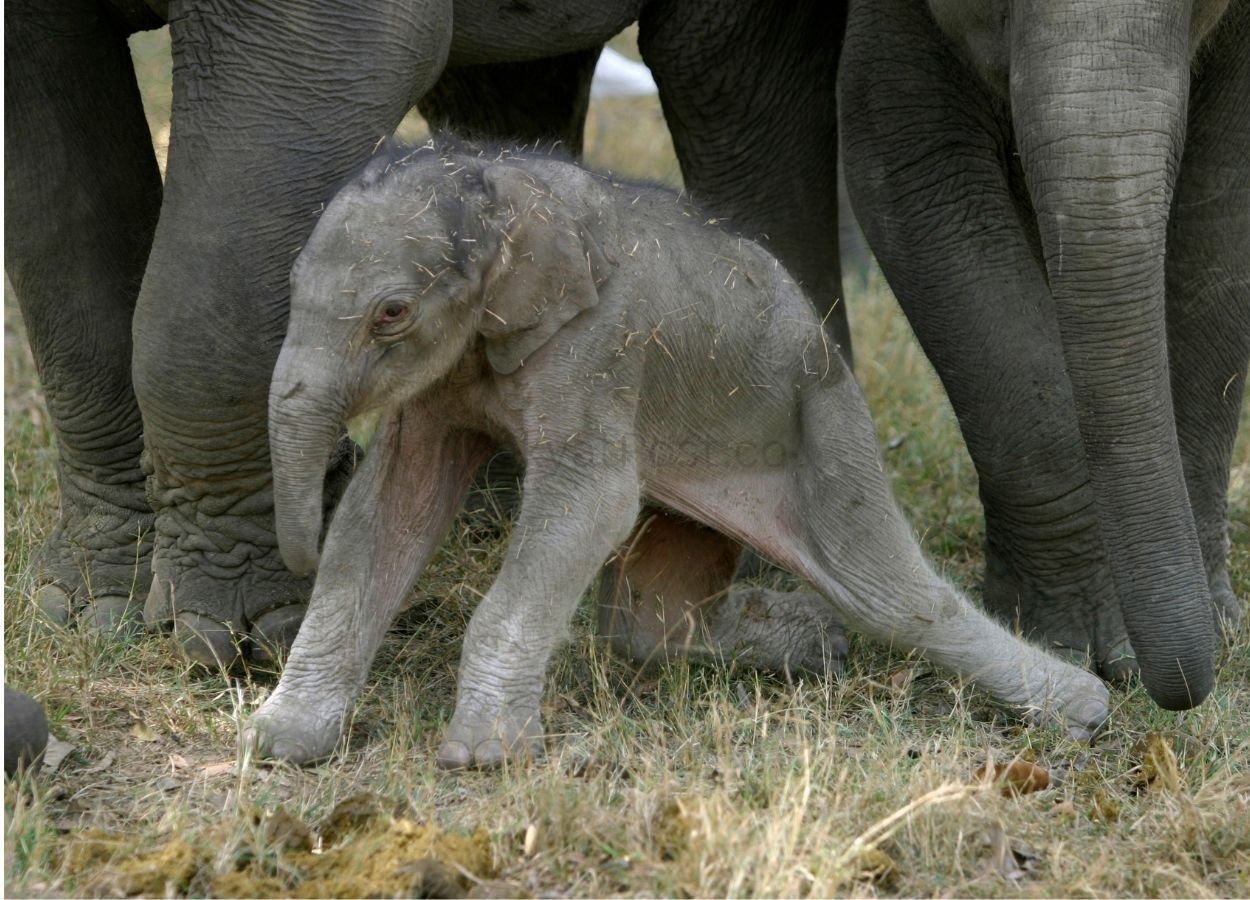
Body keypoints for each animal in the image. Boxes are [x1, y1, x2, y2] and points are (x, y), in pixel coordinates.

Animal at [4, 0, 846, 670]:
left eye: (390, 314)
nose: (330, 497)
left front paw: (237, 638)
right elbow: (56, 203)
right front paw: (95, 609)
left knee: (722, 72)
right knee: (519, 81)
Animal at [246, 143, 1110, 768]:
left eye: (391, 313)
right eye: (288, 284)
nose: (300, 542)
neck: (499, 179)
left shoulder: (600, 345)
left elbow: (590, 501)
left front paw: (482, 757)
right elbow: (388, 510)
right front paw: (279, 745)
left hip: (826, 415)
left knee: (893, 598)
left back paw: (1085, 710)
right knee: (649, 623)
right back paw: (816, 643)